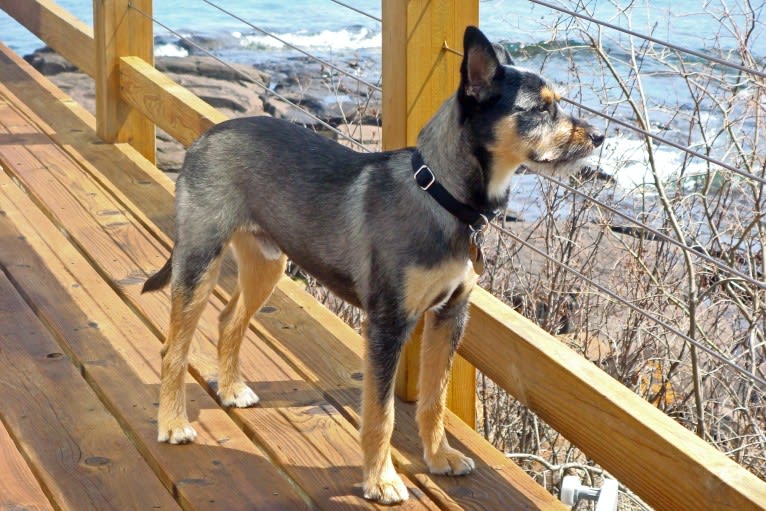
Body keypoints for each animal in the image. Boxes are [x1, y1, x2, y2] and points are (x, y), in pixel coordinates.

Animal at [141, 26, 604, 506]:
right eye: (541, 109)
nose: (599, 137)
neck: (442, 195)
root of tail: (206, 137)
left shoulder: (449, 316)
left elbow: (434, 399)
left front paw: (439, 456)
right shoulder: (387, 323)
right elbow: (381, 413)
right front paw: (381, 480)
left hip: (266, 262)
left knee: (230, 318)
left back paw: (230, 389)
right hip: (199, 260)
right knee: (173, 349)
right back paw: (173, 423)